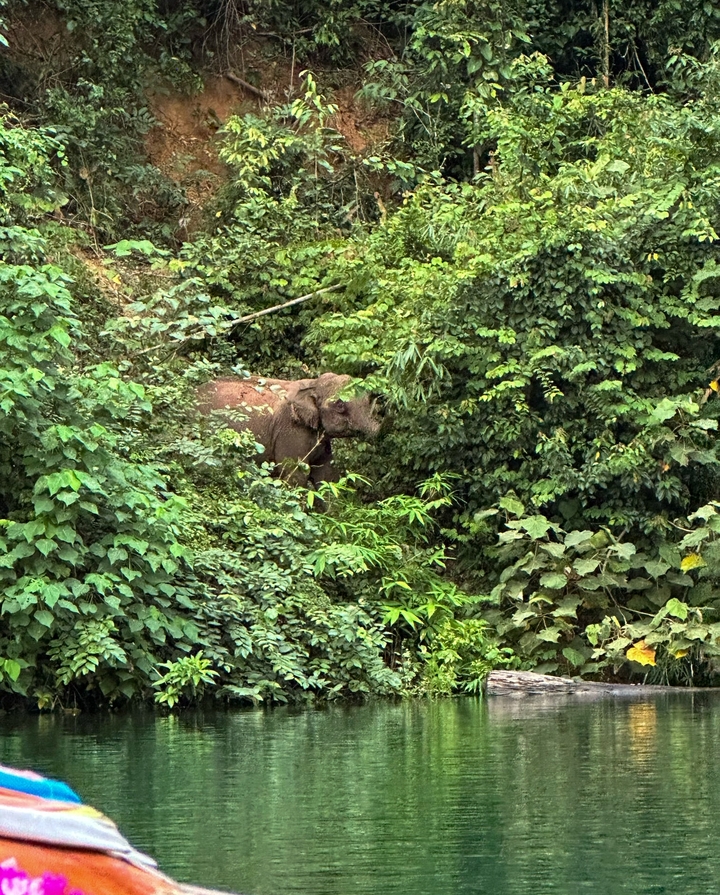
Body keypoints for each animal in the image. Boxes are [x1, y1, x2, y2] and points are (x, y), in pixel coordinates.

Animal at [197, 373, 381, 485]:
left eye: (367, 399)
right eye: (340, 405)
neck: (313, 383)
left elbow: (326, 476)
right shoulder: (291, 430)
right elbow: (295, 474)